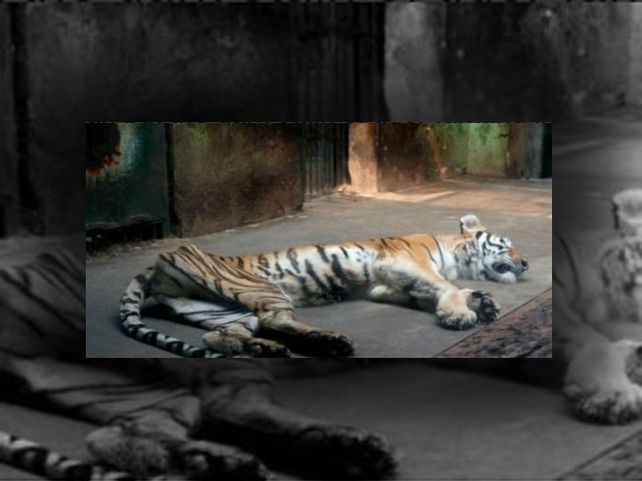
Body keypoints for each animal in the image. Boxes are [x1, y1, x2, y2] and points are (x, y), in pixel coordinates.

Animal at [120, 214, 529, 358]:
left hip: (218, 309)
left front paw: (482, 302)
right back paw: (332, 341)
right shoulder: (400, 262)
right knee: (275, 320)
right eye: (506, 244)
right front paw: (462, 313)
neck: (454, 254)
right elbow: (444, 285)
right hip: (263, 289)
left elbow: (431, 292)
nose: (525, 263)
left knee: (220, 335)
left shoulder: (386, 285)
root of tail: (153, 264)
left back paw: (263, 348)